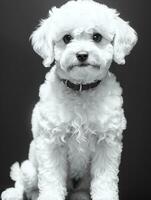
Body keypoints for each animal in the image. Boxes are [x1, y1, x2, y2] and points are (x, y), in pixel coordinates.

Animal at [1, 0, 138, 200]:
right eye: (66, 38)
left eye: (97, 37)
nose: (81, 54)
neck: (80, 90)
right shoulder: (51, 144)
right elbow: (51, 179)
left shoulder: (107, 144)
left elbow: (105, 180)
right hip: (30, 169)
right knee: (23, 182)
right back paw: (16, 193)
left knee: (78, 191)